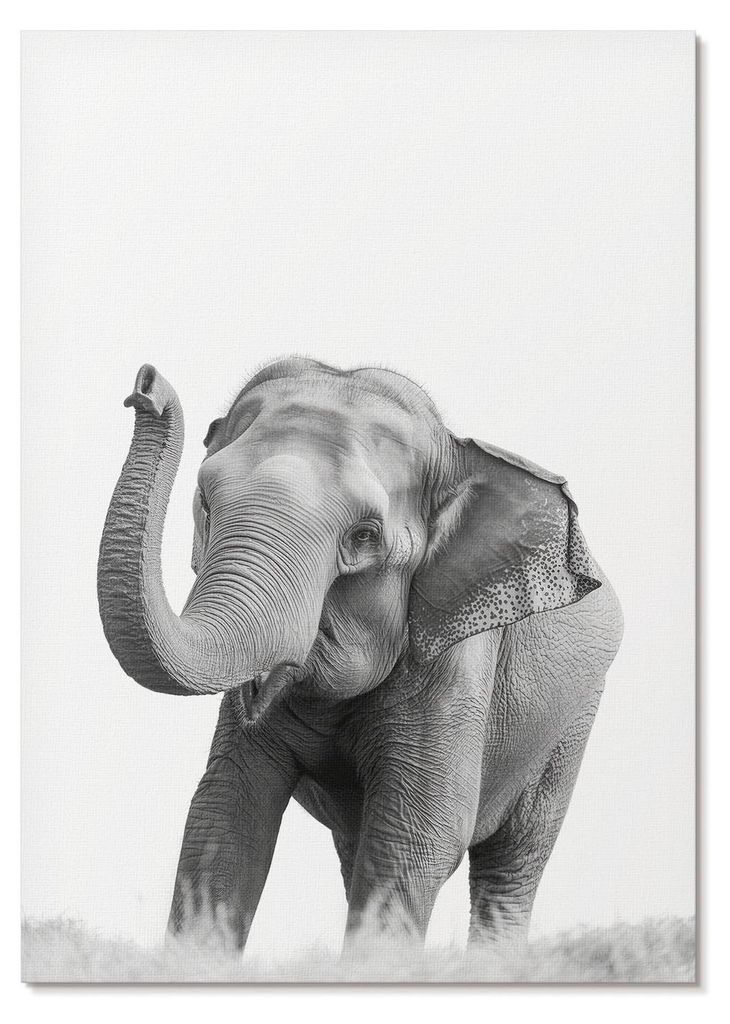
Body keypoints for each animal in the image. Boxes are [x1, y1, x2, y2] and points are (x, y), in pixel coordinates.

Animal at [97, 357, 623, 953]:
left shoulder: (456, 663)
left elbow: (416, 836)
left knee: (511, 865)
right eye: (206, 505)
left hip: (570, 726)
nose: (146, 387)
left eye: (364, 537)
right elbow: (224, 812)